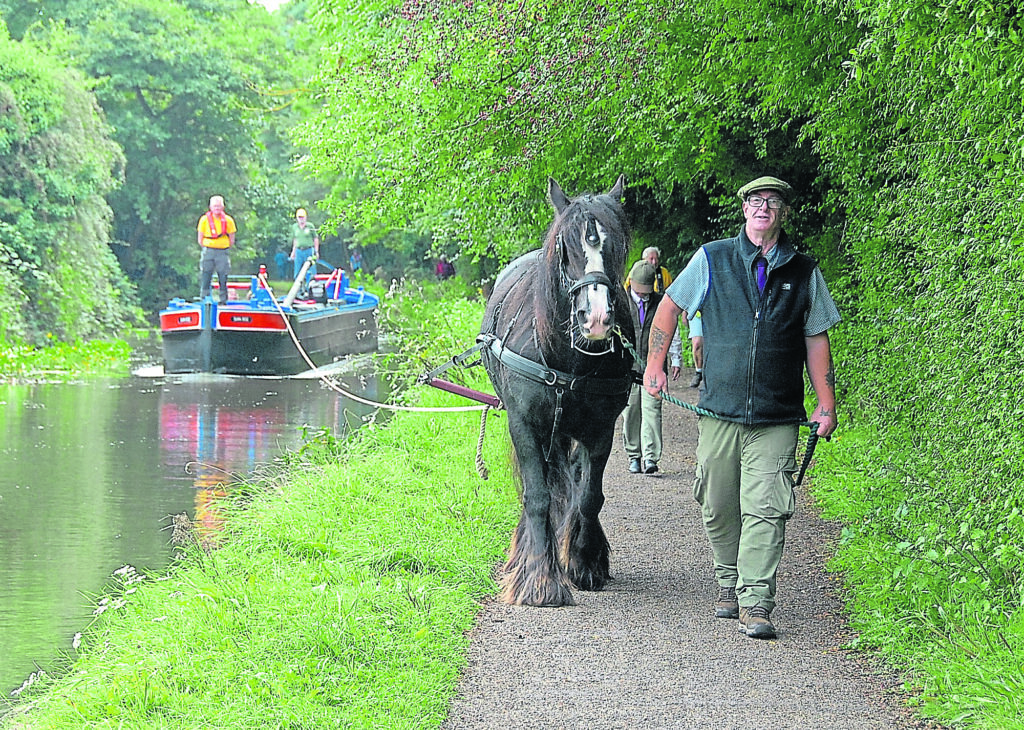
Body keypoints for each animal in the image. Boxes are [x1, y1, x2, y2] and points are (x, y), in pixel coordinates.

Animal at [477, 175, 630, 602]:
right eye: (565, 247)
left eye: (616, 243)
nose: (597, 318)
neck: (569, 360)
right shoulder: (525, 425)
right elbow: (539, 496)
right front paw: (541, 579)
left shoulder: (601, 428)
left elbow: (589, 496)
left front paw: (584, 561)